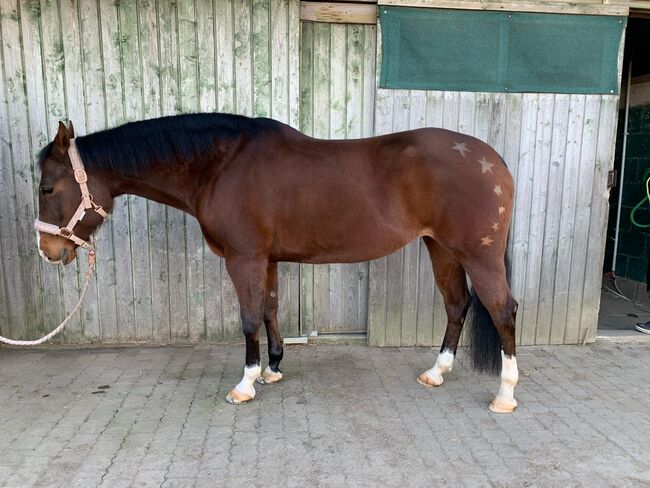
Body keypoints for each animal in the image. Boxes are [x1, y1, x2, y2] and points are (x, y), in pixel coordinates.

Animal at [35, 114, 520, 412]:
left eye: (46, 188)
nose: (48, 251)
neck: (221, 166)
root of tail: (493, 160)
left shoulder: (243, 258)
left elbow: (249, 317)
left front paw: (245, 384)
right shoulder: (265, 260)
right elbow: (269, 309)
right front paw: (272, 370)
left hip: (477, 254)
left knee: (503, 310)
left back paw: (505, 395)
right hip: (440, 248)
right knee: (456, 304)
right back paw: (436, 373)